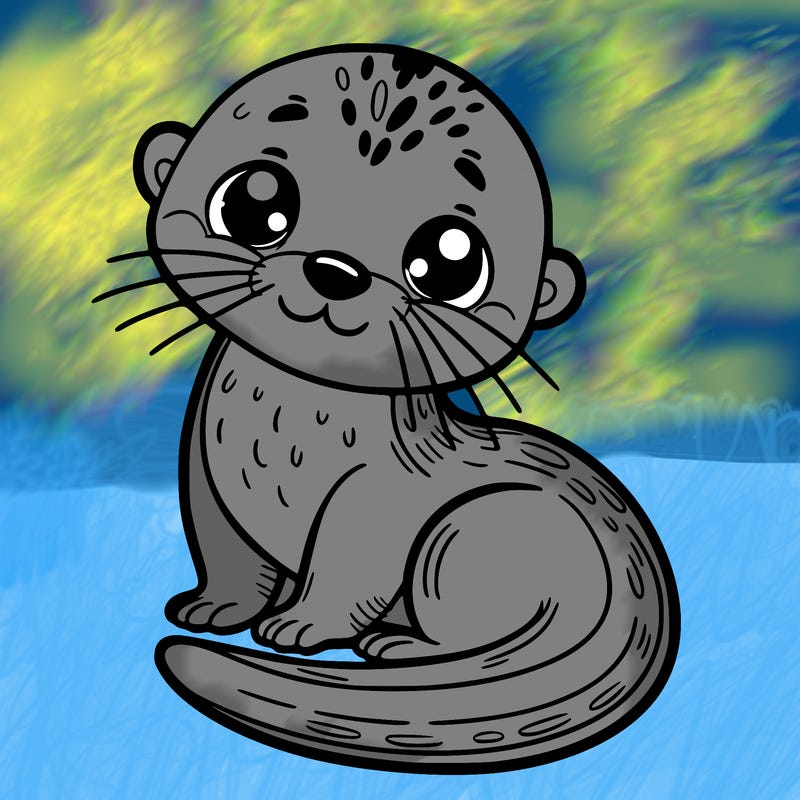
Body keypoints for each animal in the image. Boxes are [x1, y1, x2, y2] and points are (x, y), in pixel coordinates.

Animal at [112, 44, 679, 773]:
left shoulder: (377, 497)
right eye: (254, 200)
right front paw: (213, 608)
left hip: (473, 530)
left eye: (449, 261)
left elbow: (349, 567)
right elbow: (225, 552)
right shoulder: (206, 476)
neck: (278, 439)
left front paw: (300, 625)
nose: (335, 269)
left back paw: (399, 646)